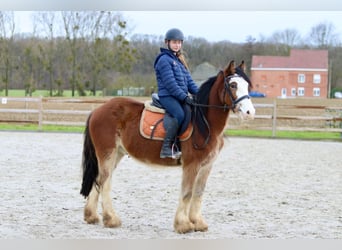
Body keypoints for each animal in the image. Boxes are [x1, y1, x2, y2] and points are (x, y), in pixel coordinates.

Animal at [80, 60, 255, 234]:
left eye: (247, 85)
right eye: (233, 85)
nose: (249, 112)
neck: (204, 123)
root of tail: (98, 110)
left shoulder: (206, 166)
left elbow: (198, 193)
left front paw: (198, 223)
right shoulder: (192, 165)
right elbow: (187, 193)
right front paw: (183, 225)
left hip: (116, 154)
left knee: (99, 180)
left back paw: (92, 216)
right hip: (107, 153)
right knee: (105, 182)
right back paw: (111, 219)